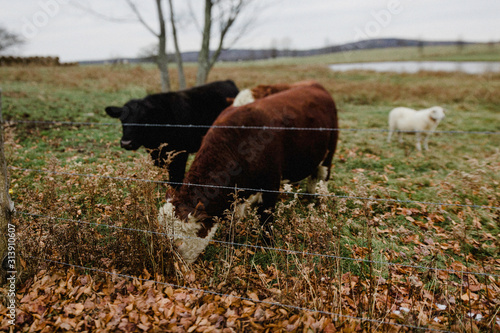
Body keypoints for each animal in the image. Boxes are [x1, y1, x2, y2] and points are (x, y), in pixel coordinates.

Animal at [159, 82, 340, 262]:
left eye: (179, 243)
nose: (174, 264)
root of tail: (314, 84)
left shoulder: (270, 186)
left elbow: (266, 221)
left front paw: (268, 246)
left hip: (329, 153)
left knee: (322, 178)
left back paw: (321, 203)